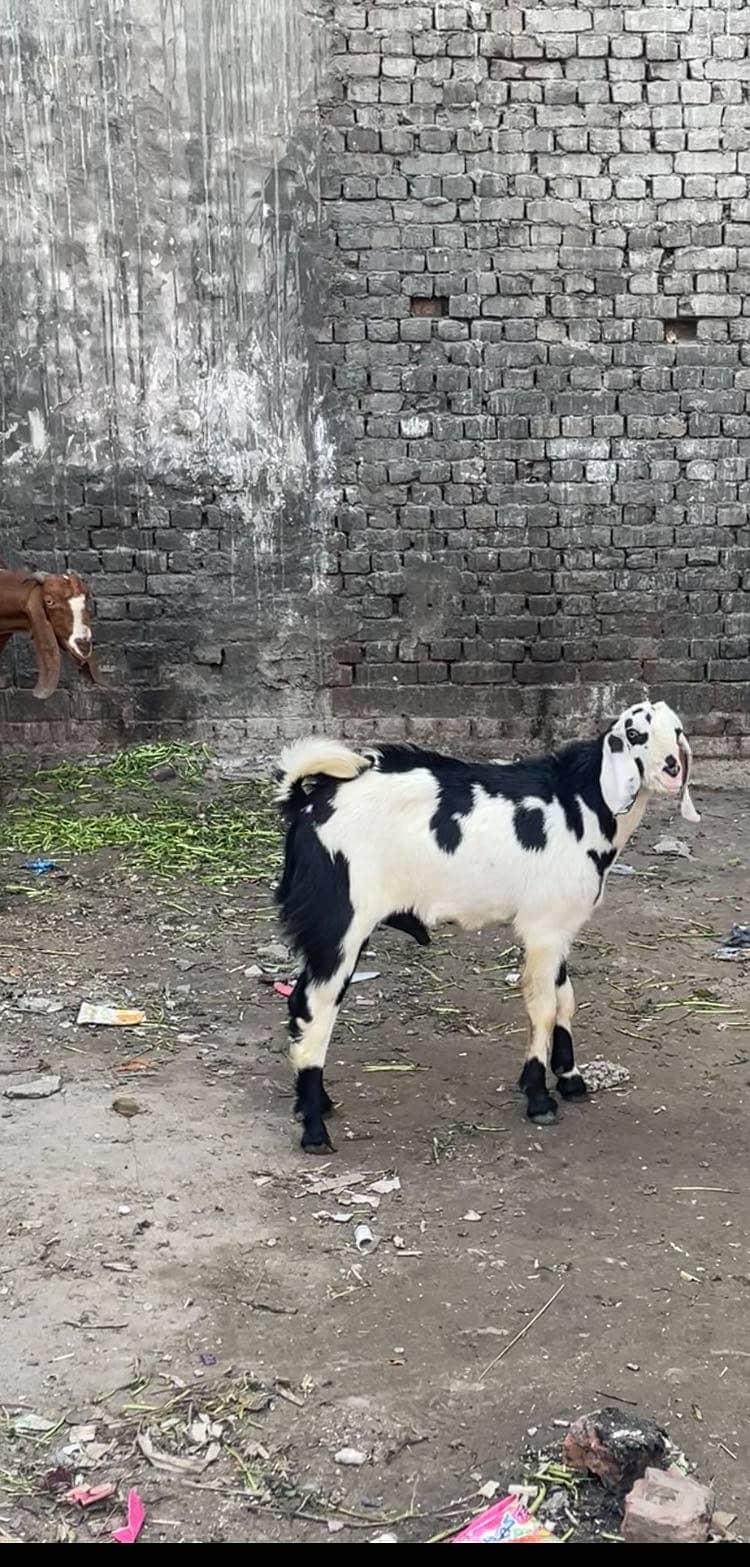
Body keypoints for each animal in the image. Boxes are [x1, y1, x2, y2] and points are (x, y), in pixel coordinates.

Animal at [275, 702, 700, 1154]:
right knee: (317, 1009)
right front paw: (538, 1096)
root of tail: (307, 801)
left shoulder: (560, 925)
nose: (673, 768)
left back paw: (317, 1103)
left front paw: (569, 1078)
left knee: (300, 1002)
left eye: (677, 731)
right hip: (339, 923)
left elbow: (564, 998)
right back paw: (315, 1130)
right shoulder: (543, 927)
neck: (581, 803)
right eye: (634, 734)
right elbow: (542, 1006)